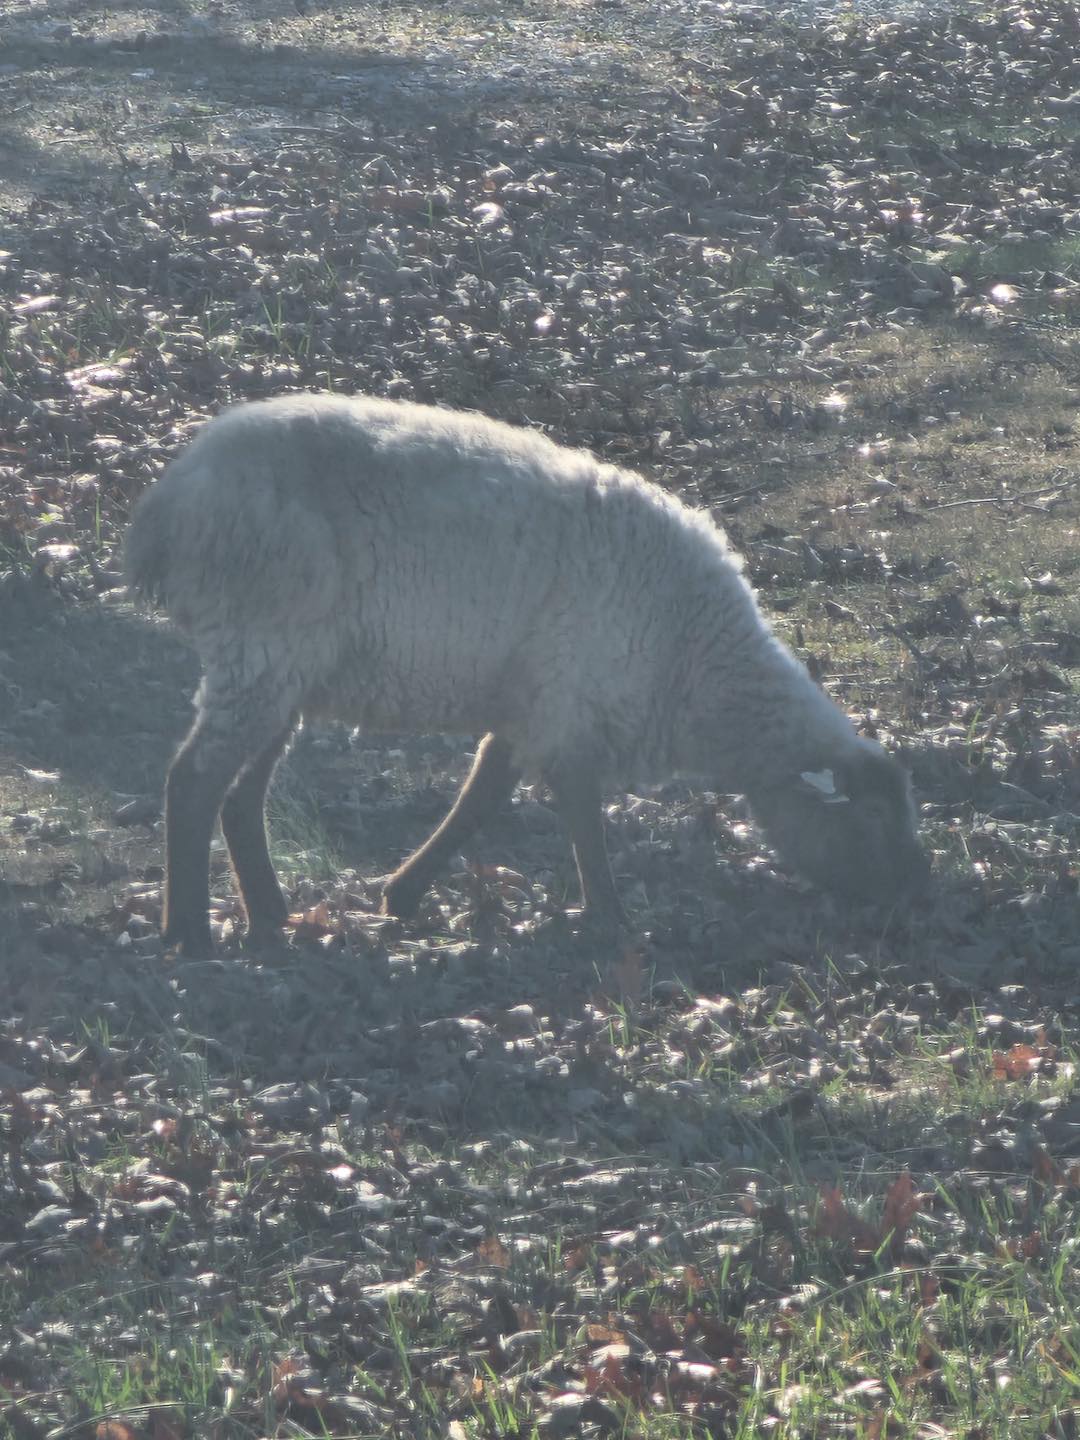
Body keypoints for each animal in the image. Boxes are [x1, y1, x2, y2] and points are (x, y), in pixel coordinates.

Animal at [125, 392, 929, 955]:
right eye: (872, 818)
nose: (911, 897)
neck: (700, 666)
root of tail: (168, 503)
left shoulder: (530, 707)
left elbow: (481, 799)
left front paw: (402, 895)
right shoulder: (572, 708)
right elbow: (579, 817)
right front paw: (612, 920)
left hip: (281, 670)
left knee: (239, 797)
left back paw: (269, 913)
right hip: (258, 651)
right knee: (194, 781)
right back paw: (187, 933)